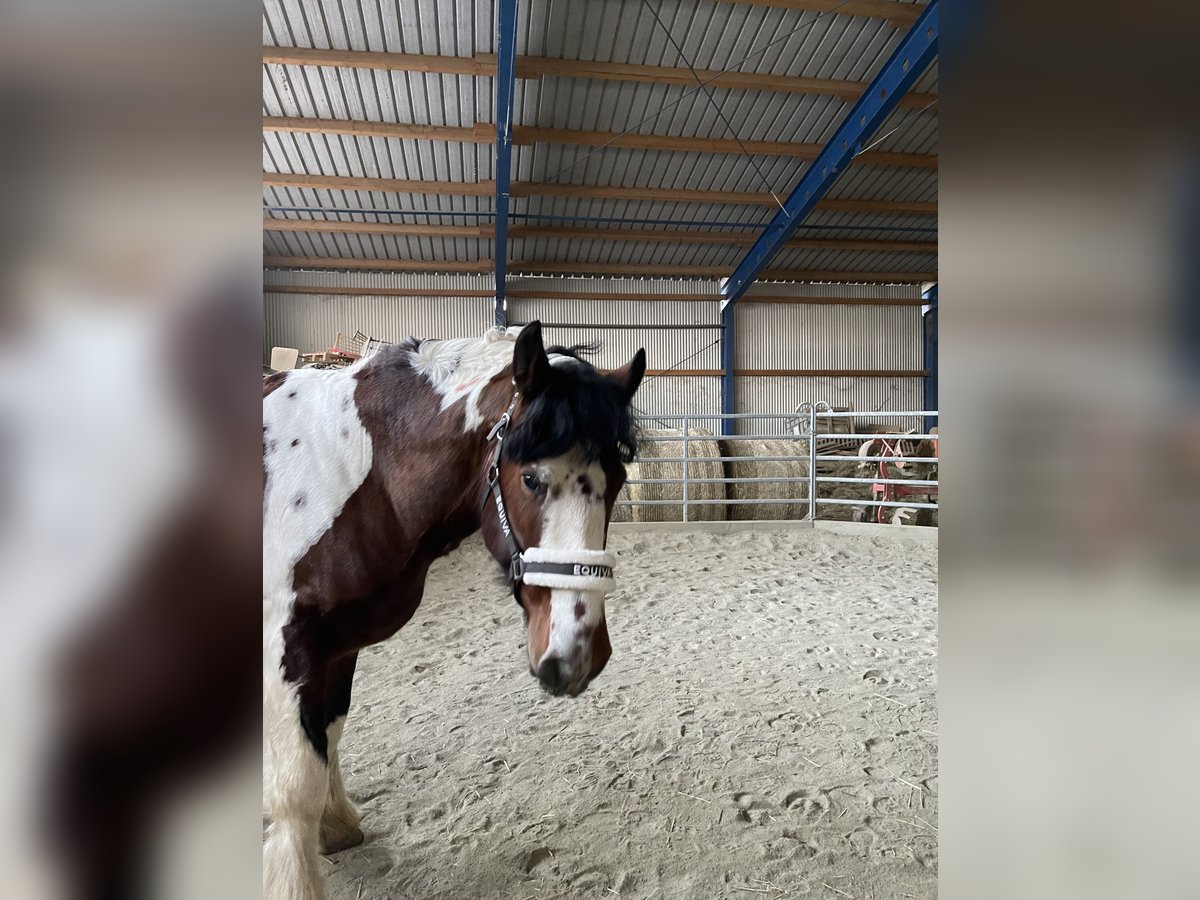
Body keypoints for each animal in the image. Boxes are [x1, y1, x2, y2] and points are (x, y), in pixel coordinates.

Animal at [264, 321, 648, 900]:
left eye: (618, 480)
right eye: (531, 478)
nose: (577, 655)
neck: (351, 470)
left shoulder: (339, 643)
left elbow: (329, 733)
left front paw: (336, 827)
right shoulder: (289, 648)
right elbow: (294, 787)